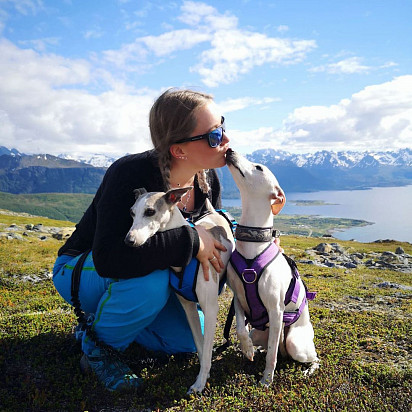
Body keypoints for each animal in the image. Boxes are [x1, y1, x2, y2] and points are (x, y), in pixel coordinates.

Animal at [124, 187, 235, 392]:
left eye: (150, 211)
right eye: (131, 212)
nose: (129, 240)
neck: (187, 258)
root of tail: (214, 213)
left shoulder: (210, 309)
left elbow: (207, 349)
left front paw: (200, 383)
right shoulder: (188, 307)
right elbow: (200, 345)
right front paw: (203, 374)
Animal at [225, 149, 318, 386]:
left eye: (258, 167)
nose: (229, 150)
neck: (253, 245)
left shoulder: (276, 312)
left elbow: (272, 356)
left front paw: (267, 380)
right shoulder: (238, 298)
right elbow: (240, 329)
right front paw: (247, 349)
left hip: (294, 342)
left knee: (310, 356)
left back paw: (309, 369)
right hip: (260, 332)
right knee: (263, 342)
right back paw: (255, 349)